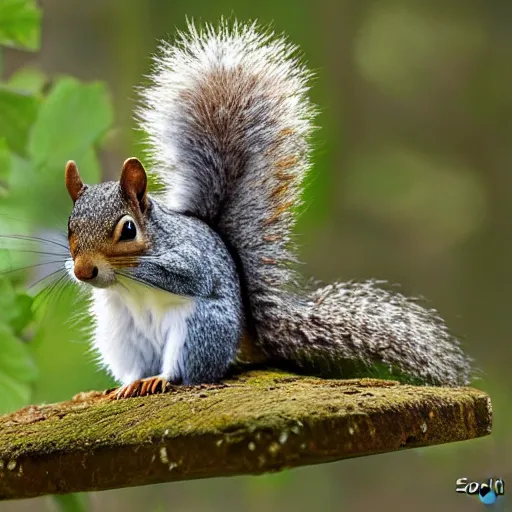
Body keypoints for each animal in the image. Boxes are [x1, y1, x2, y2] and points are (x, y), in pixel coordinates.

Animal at [63, 20, 472, 398]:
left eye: (129, 230)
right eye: (70, 228)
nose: (84, 271)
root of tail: (243, 334)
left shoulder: (194, 259)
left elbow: (188, 275)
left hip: (200, 329)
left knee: (189, 372)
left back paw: (160, 379)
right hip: (120, 336)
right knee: (136, 366)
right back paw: (127, 385)